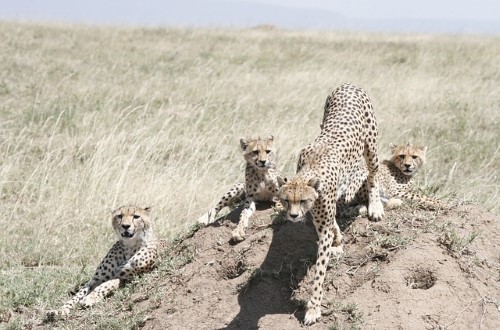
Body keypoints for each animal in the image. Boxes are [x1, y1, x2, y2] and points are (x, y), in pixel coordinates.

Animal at [278, 83, 382, 324]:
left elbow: (319, 270)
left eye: (303, 200)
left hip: (371, 146)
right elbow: (331, 224)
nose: (293, 216)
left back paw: (375, 206)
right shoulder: (319, 218)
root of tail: (348, 84)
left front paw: (314, 308)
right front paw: (338, 238)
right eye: (286, 200)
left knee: (373, 174)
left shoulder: (322, 219)